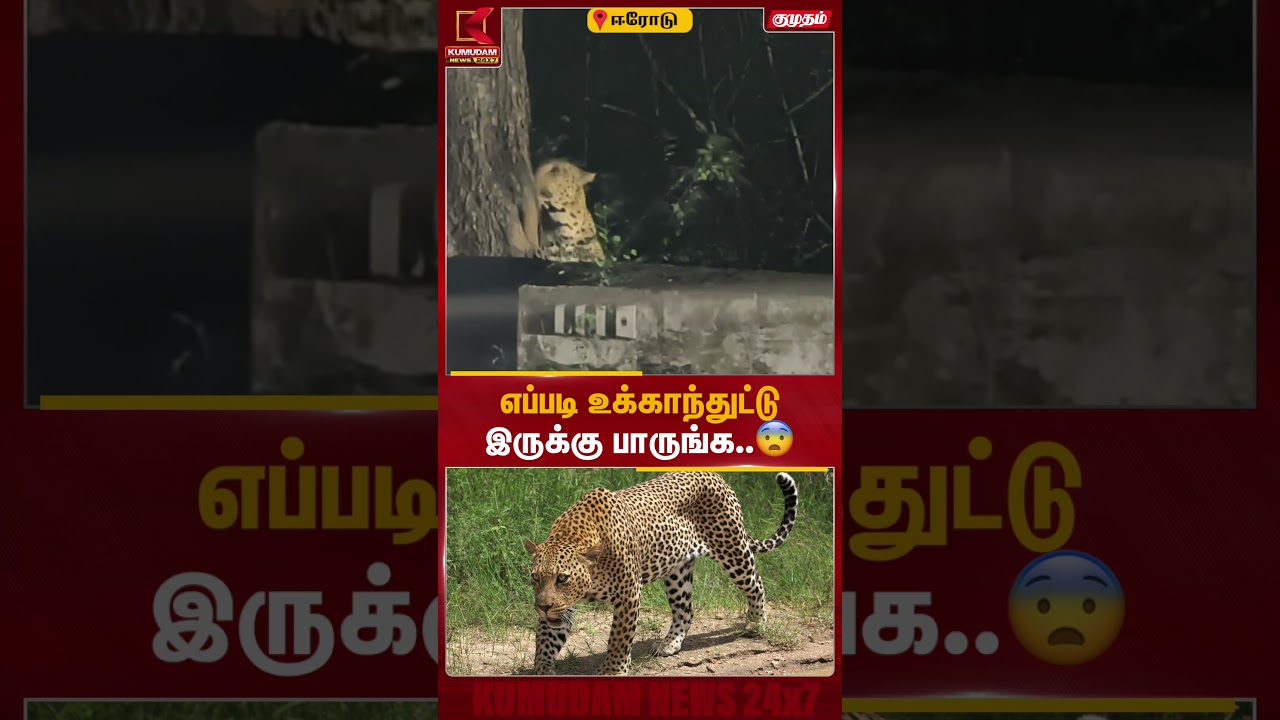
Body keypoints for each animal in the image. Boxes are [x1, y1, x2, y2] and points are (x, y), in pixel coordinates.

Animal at [523, 470, 798, 676]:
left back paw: (756, 622)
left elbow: (619, 637)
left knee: (756, 584)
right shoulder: (561, 607)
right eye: (536, 577)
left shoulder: (628, 594)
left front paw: (613, 670)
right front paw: (542, 669)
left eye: (563, 578)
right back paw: (670, 643)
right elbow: (545, 638)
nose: (542, 607)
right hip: (677, 573)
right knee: (685, 610)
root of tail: (715, 475)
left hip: (732, 550)